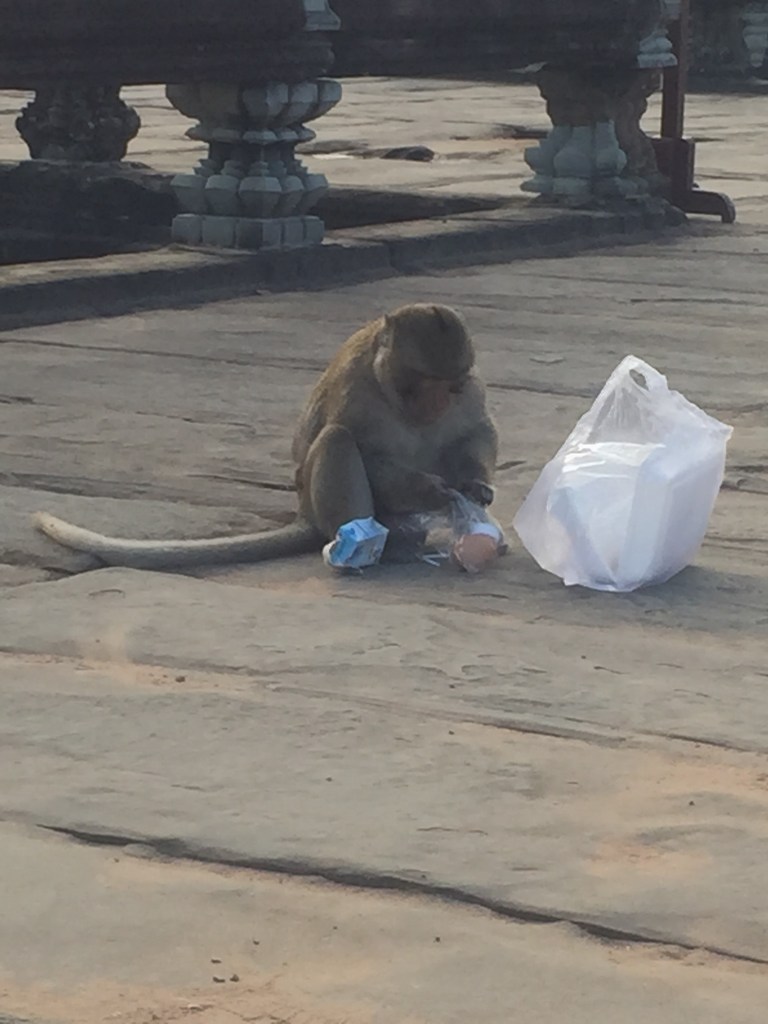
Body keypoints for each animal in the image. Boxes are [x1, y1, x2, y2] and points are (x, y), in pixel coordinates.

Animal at [34, 303, 499, 571]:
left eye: (450, 386)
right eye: (422, 383)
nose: (435, 405)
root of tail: (304, 514)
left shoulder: (471, 386)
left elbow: (477, 431)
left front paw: (475, 486)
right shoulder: (357, 389)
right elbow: (365, 449)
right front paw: (432, 490)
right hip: (319, 503)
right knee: (337, 439)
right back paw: (366, 543)